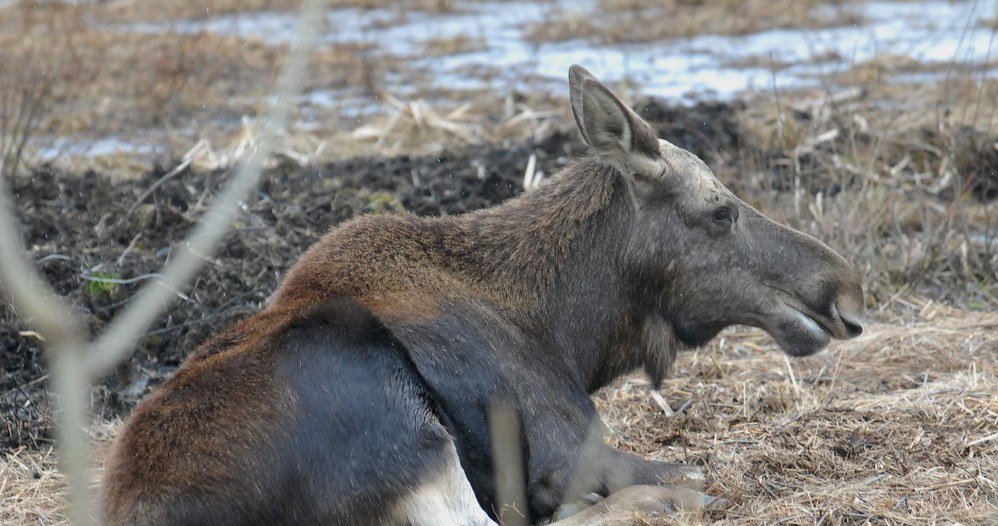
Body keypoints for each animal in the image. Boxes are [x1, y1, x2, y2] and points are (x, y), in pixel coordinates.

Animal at [103, 67, 868, 526]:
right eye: (719, 211)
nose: (844, 292)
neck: (572, 331)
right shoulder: (571, 448)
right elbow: (677, 470)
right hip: (400, 421)